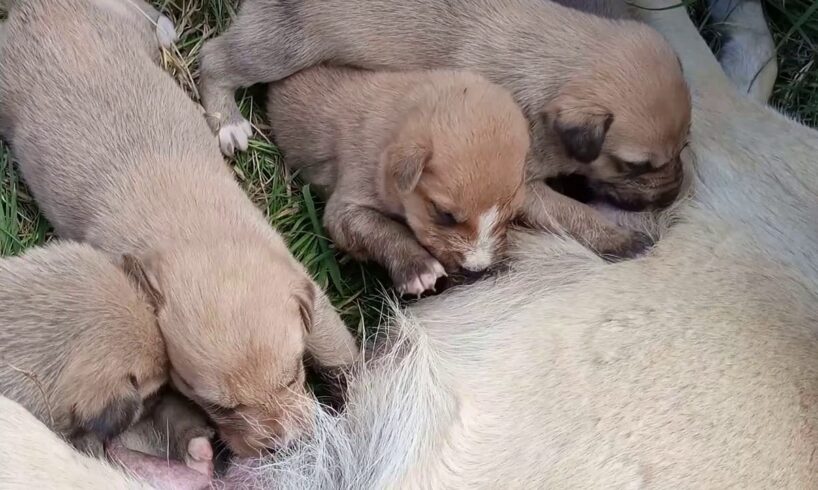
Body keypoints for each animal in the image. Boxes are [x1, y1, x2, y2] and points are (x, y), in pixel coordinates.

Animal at [198, 0, 688, 258]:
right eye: (634, 165)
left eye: (684, 146)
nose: (674, 194)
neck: (551, 62)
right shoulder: (526, 184)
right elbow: (570, 212)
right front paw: (621, 238)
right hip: (283, 46)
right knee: (217, 57)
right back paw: (228, 123)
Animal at [264, 67, 524, 296]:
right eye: (445, 214)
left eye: (510, 217)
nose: (476, 270)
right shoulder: (346, 206)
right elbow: (382, 228)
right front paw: (419, 268)